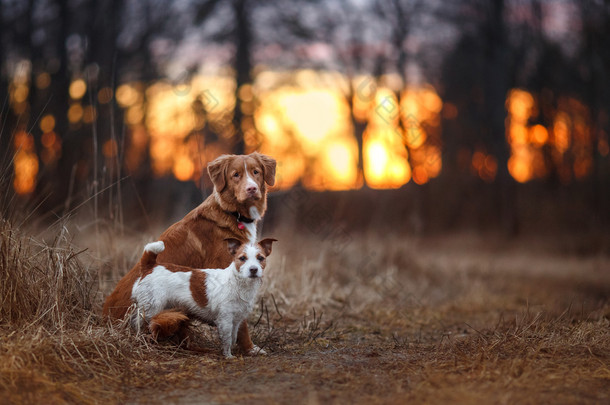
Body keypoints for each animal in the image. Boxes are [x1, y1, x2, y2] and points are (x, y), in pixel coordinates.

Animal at [134, 237, 278, 356]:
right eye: (242, 258)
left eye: (260, 258)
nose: (253, 269)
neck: (237, 282)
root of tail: (150, 266)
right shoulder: (225, 320)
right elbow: (226, 340)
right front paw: (228, 356)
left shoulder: (236, 320)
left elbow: (233, 337)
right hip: (151, 308)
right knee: (139, 323)